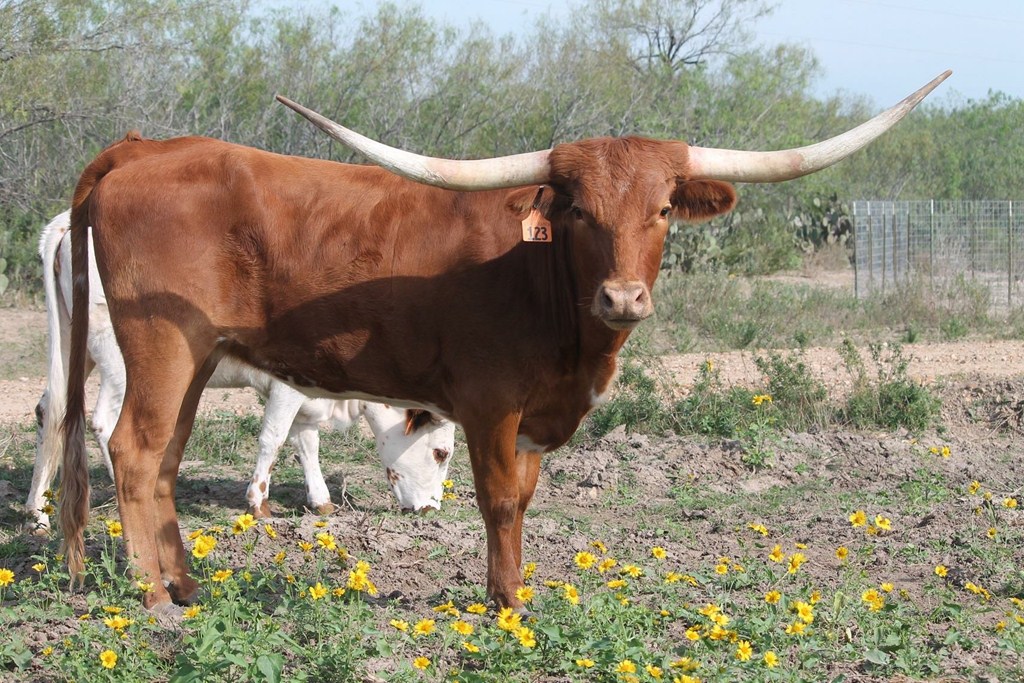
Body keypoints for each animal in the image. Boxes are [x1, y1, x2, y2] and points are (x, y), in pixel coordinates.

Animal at [28, 211, 455, 533]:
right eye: (441, 452)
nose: (432, 510)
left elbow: (306, 443)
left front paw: (321, 501)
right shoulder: (287, 387)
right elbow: (274, 438)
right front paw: (258, 503)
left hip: (74, 347)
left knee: (51, 410)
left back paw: (38, 515)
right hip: (123, 362)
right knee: (106, 423)